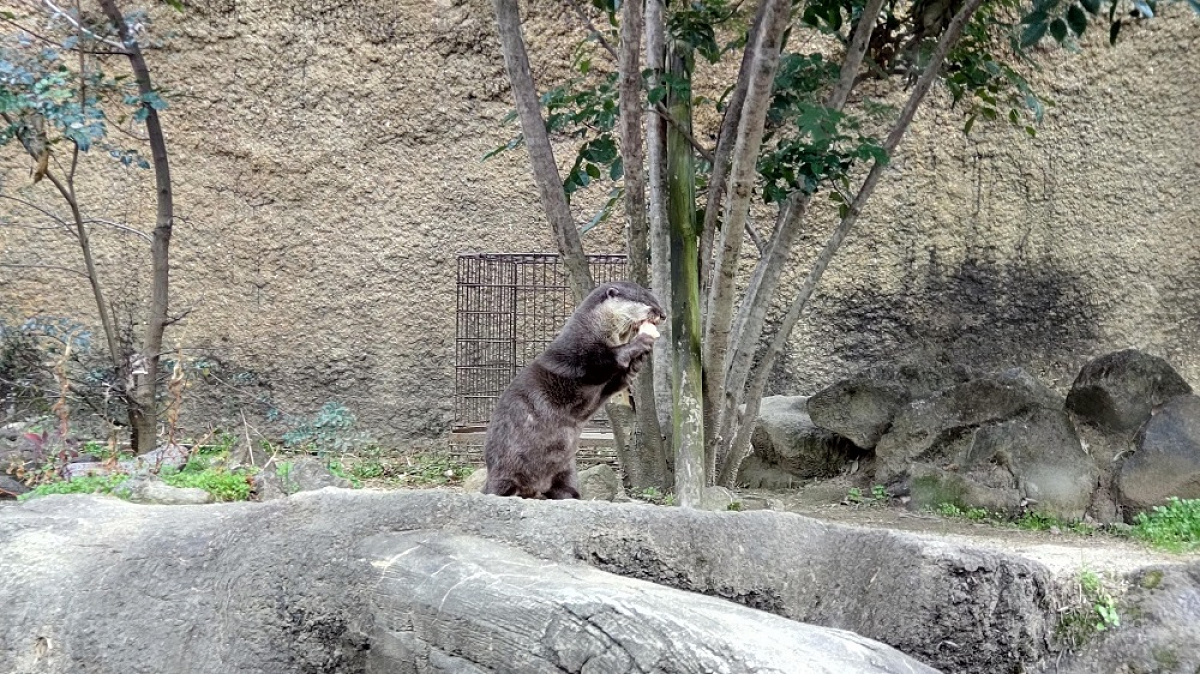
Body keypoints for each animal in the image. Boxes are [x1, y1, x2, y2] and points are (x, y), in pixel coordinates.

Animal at [480, 279, 667, 498]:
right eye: (646, 300)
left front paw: (639, 362)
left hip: (566, 470)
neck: (591, 331)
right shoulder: (578, 358)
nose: (663, 314)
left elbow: (617, 383)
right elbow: (603, 361)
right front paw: (639, 343)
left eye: (654, 298)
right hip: (506, 468)